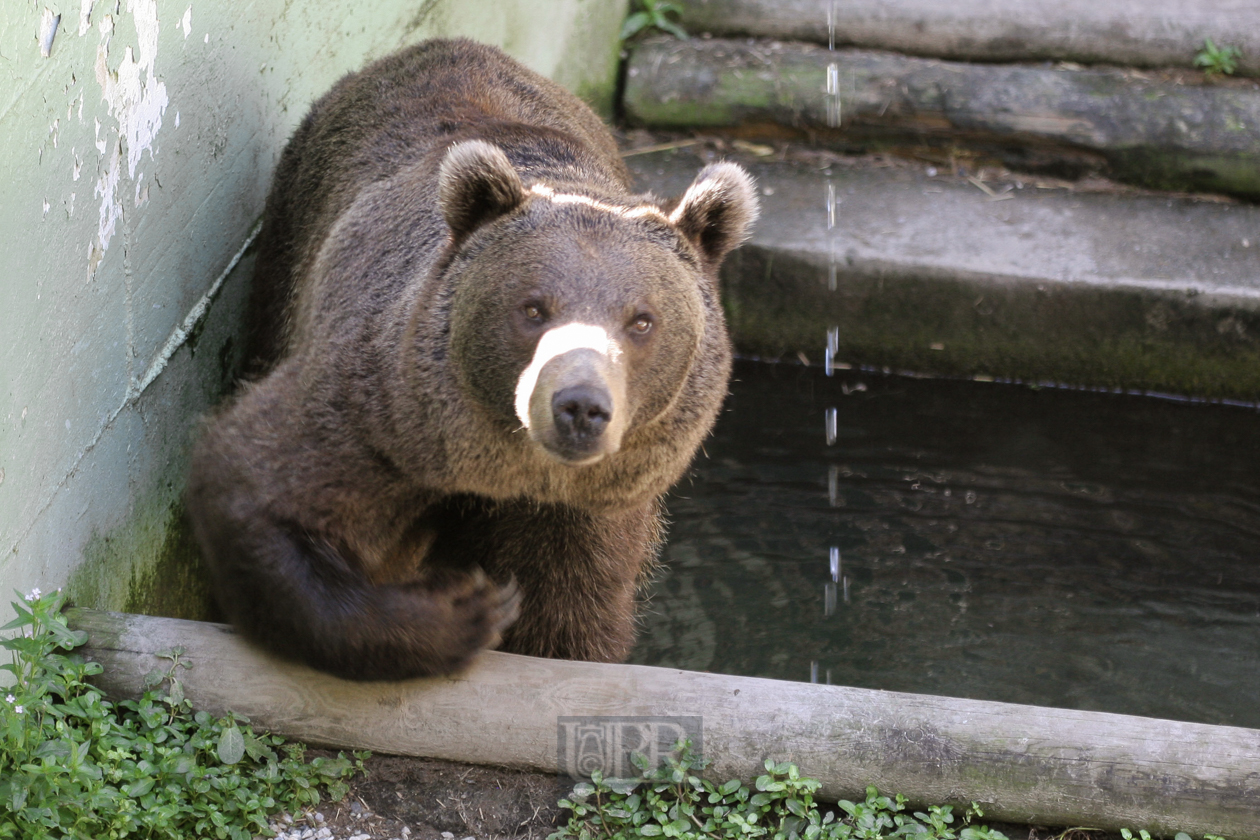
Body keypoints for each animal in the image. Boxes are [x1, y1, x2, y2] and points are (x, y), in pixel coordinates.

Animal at [186, 39, 756, 685]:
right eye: (532, 307)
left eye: (641, 320)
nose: (579, 406)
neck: (505, 470)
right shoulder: (379, 407)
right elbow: (259, 485)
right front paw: (464, 610)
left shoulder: (589, 507)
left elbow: (572, 613)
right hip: (286, 257)